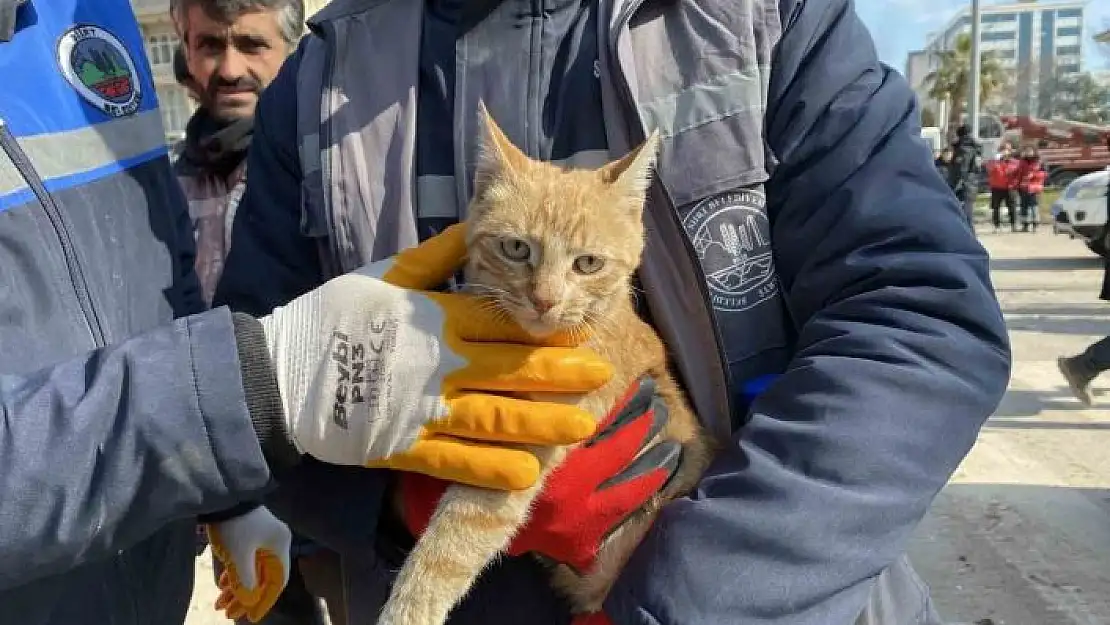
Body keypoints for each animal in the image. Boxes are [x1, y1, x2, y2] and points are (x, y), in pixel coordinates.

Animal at [379, 107, 710, 625]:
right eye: (516, 249)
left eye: (588, 263)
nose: (545, 300)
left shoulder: (521, 453)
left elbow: (448, 547)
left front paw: (407, 611)